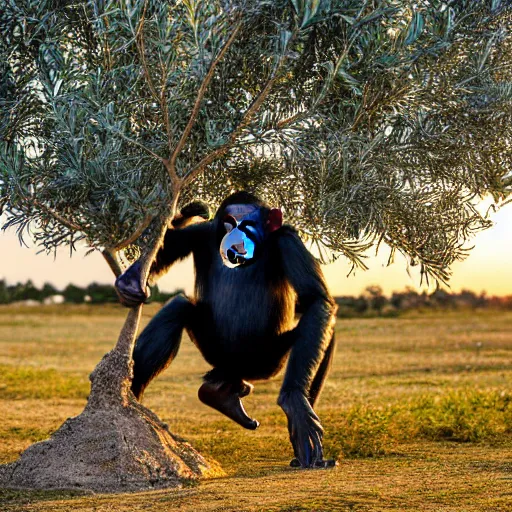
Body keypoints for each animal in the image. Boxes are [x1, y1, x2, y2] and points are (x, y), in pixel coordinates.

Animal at [115, 192, 336, 468]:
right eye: (229, 224)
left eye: (248, 225)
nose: (235, 241)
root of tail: (232, 370)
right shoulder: (202, 233)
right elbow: (161, 256)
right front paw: (129, 282)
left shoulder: (289, 240)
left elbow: (315, 300)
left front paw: (295, 403)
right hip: (214, 352)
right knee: (179, 307)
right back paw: (130, 400)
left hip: (266, 363)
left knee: (324, 333)